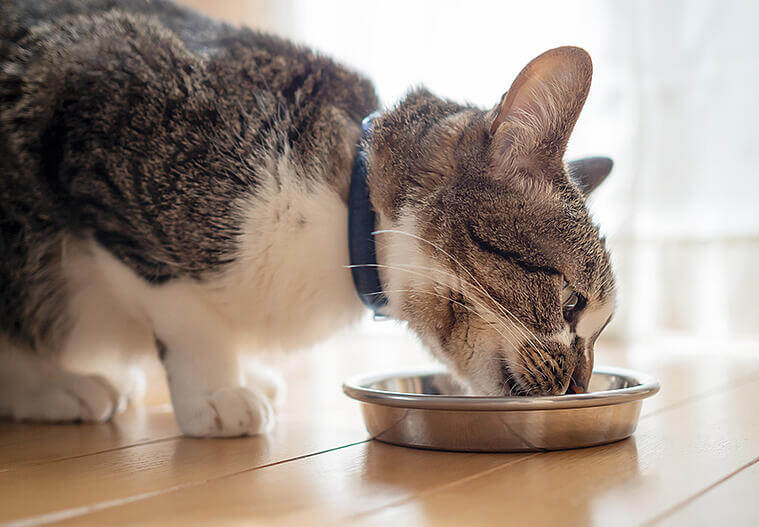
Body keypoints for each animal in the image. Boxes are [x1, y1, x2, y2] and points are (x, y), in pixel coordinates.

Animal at [0, 0, 616, 438]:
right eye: (571, 304)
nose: (579, 387)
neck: (343, 219)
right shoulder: (101, 109)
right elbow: (185, 312)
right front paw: (217, 391)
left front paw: (241, 372)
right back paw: (64, 385)